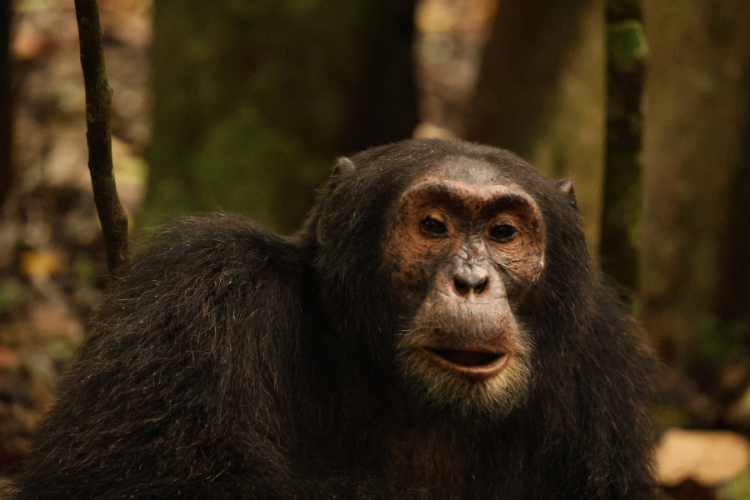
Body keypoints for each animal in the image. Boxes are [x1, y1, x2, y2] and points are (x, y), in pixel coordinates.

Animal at [14, 139, 656, 499]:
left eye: (502, 232)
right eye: (433, 226)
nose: (471, 282)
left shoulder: (600, 358)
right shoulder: (194, 301)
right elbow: (147, 480)